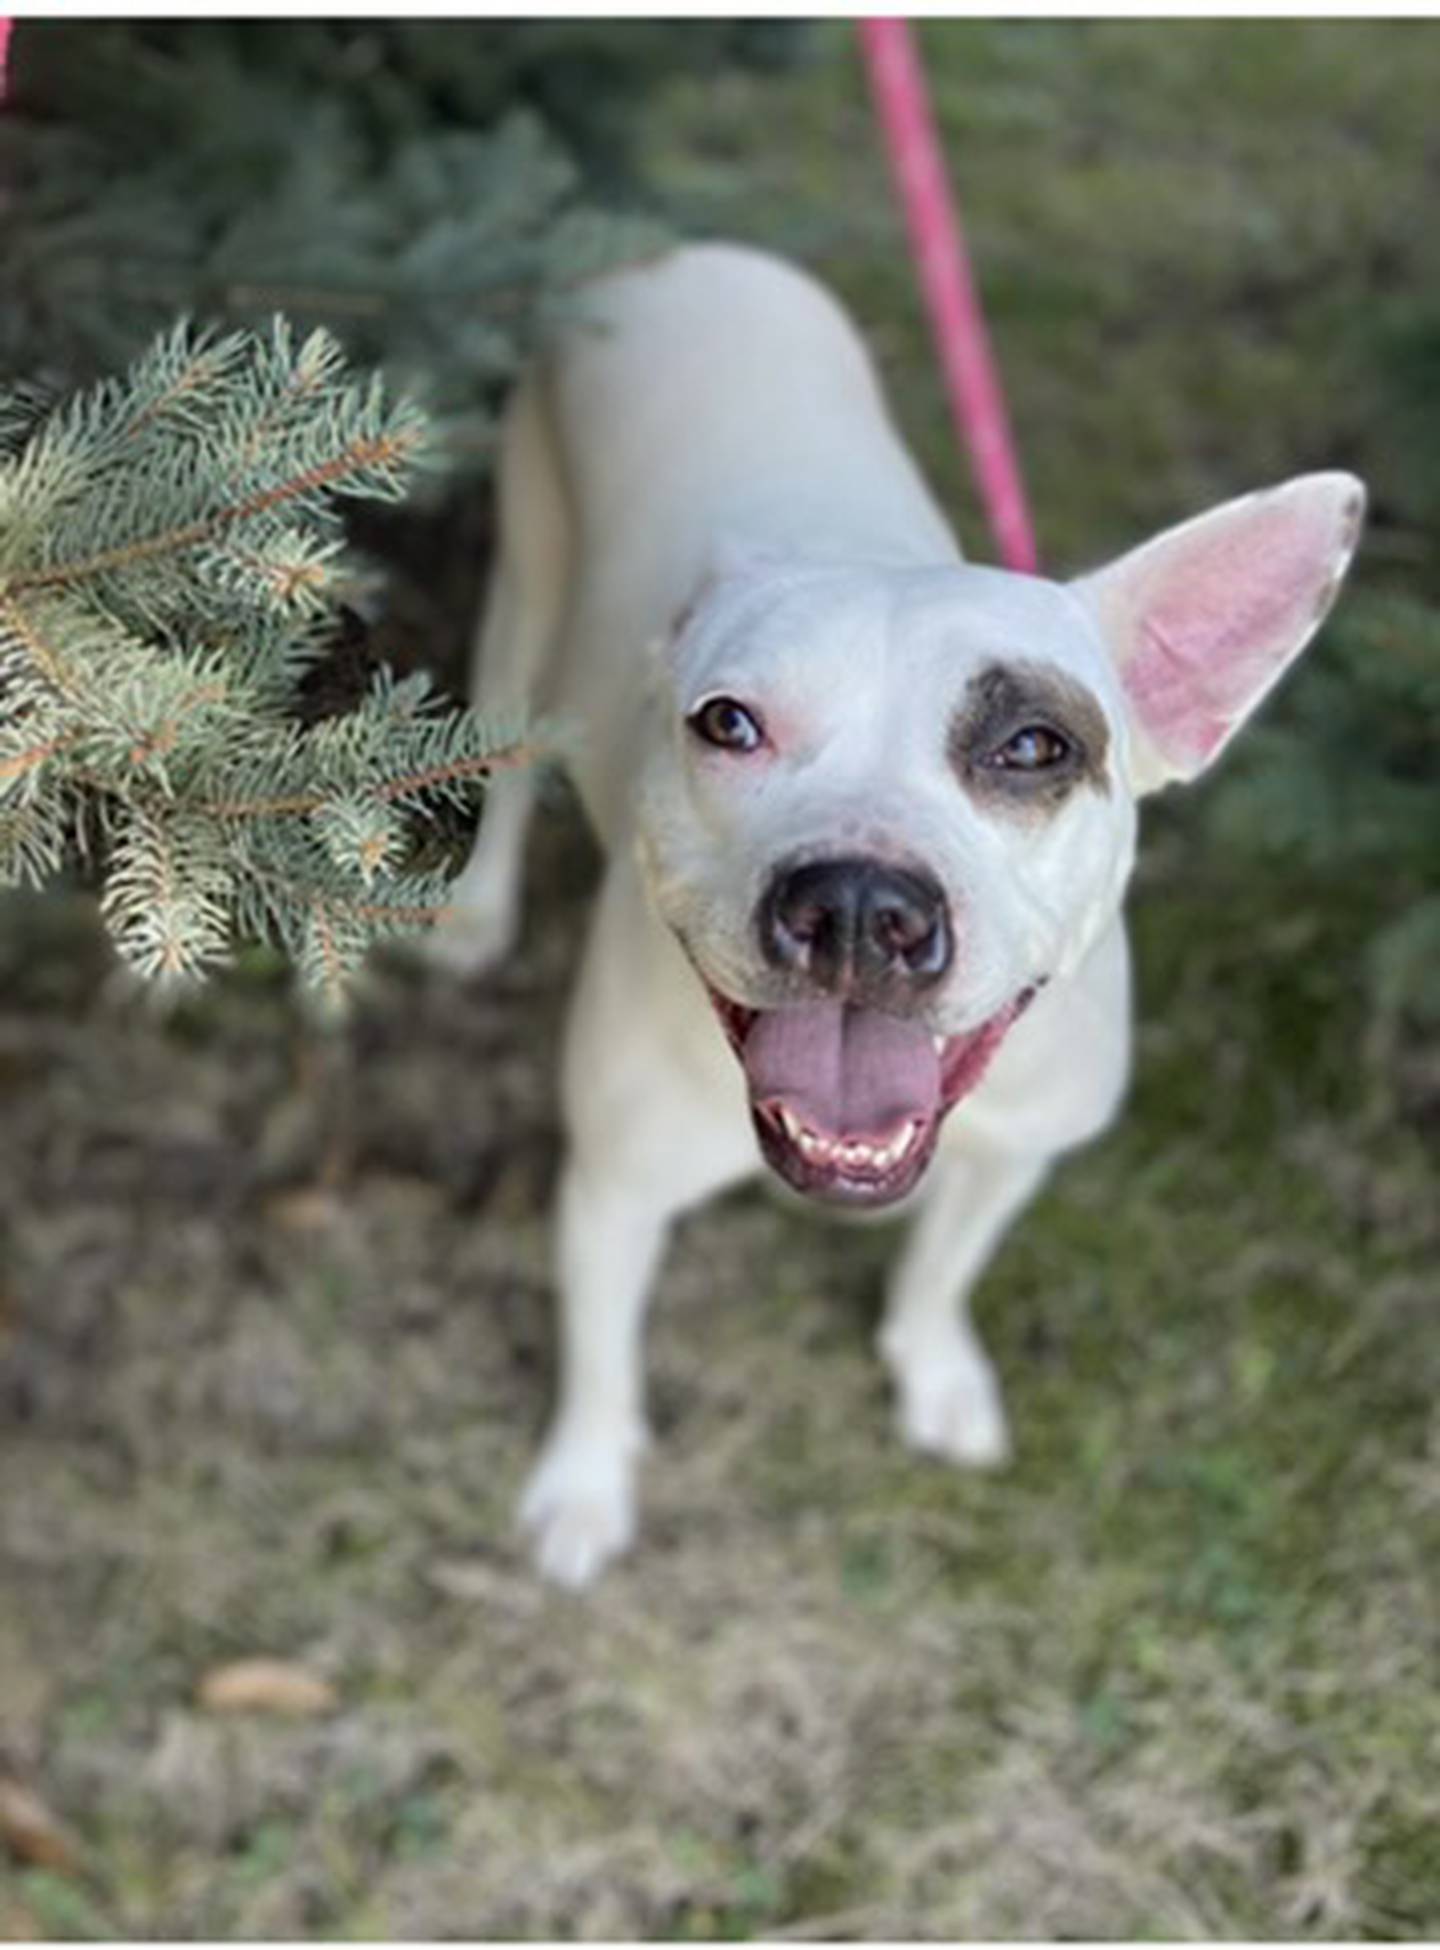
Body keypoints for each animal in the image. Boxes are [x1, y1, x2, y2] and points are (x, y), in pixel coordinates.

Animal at [425, 243, 1358, 1583]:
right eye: (728, 724)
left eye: (1034, 746)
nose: (861, 905)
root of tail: (678, 251)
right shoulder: (612, 1185)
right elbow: (602, 1357)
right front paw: (586, 1486)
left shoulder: (1020, 1152)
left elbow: (942, 1270)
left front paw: (936, 1372)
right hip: (528, 594)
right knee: (500, 754)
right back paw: (475, 914)